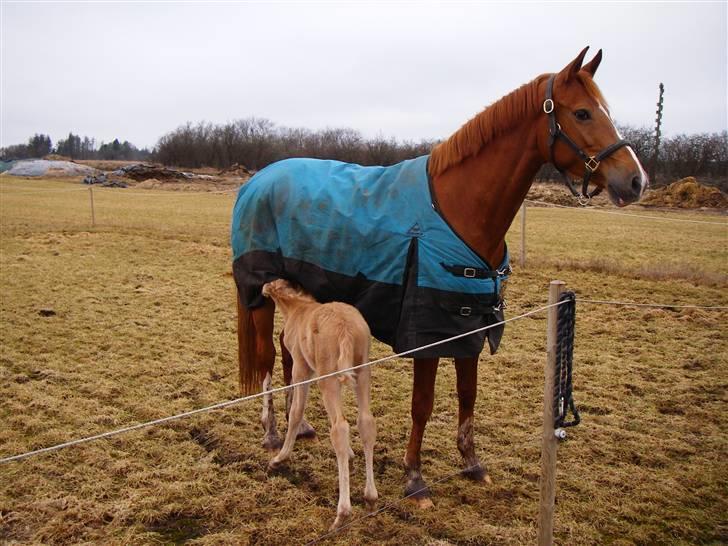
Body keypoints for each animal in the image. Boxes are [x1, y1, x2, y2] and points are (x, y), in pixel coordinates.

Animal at [262, 278, 378, 528]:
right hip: (362, 372)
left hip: (328, 377)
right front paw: (351, 455)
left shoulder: (301, 368)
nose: (262, 289)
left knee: (340, 427)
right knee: (365, 422)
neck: (298, 309)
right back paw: (371, 498)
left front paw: (279, 458)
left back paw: (342, 513)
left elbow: (296, 411)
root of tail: (346, 328)